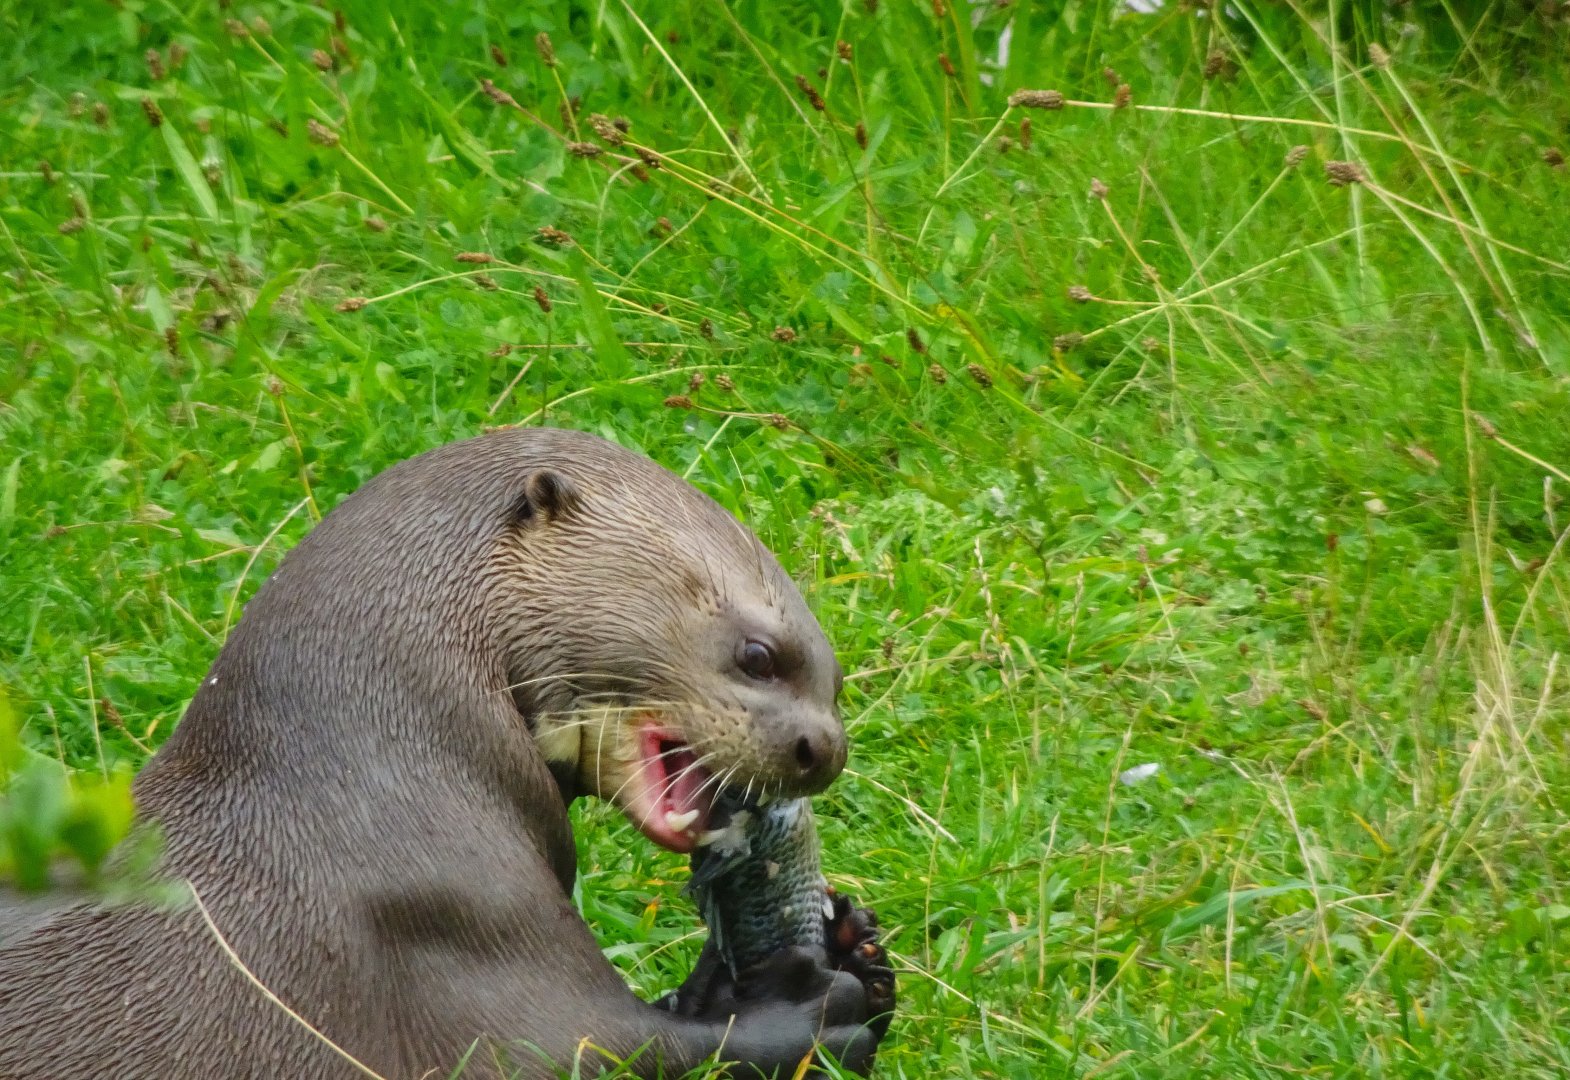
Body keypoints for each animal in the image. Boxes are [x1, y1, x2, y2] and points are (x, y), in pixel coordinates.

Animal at [0, 427, 894, 1079]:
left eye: (838, 678)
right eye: (758, 654)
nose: (824, 749)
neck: (363, 778)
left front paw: (852, 944)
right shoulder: (458, 927)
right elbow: (622, 1045)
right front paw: (817, 1006)